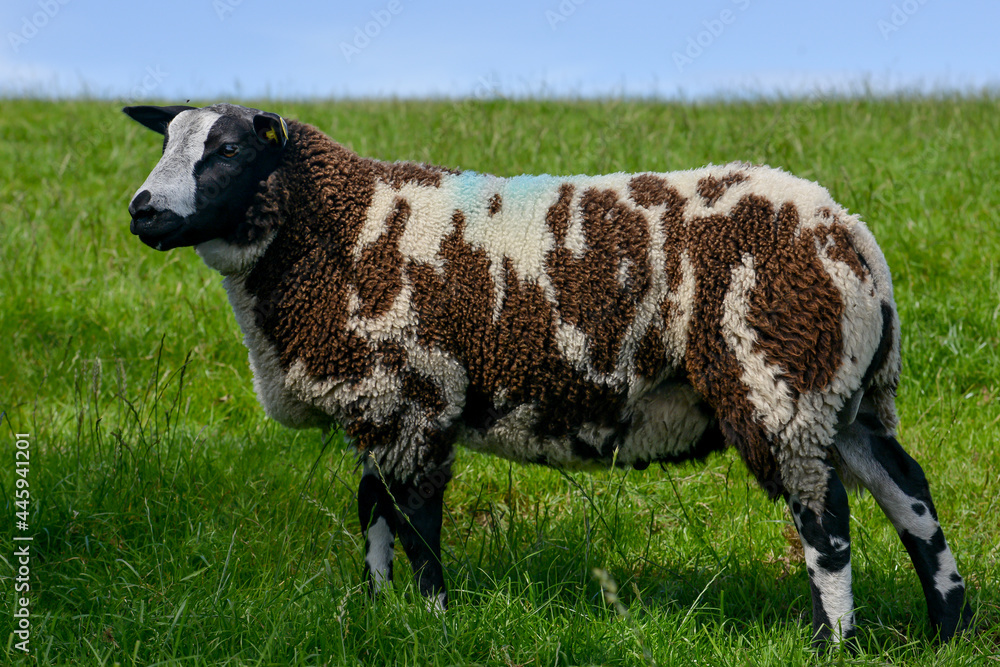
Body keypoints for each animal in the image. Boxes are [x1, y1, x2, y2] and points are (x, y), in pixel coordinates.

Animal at [123, 102, 971, 647]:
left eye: (229, 150)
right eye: (166, 141)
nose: (143, 210)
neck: (336, 226)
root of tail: (852, 235)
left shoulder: (417, 393)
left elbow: (417, 520)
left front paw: (430, 621)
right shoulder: (381, 400)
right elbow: (373, 509)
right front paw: (374, 607)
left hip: (780, 380)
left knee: (824, 515)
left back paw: (836, 640)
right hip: (844, 391)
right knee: (907, 490)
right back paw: (948, 627)